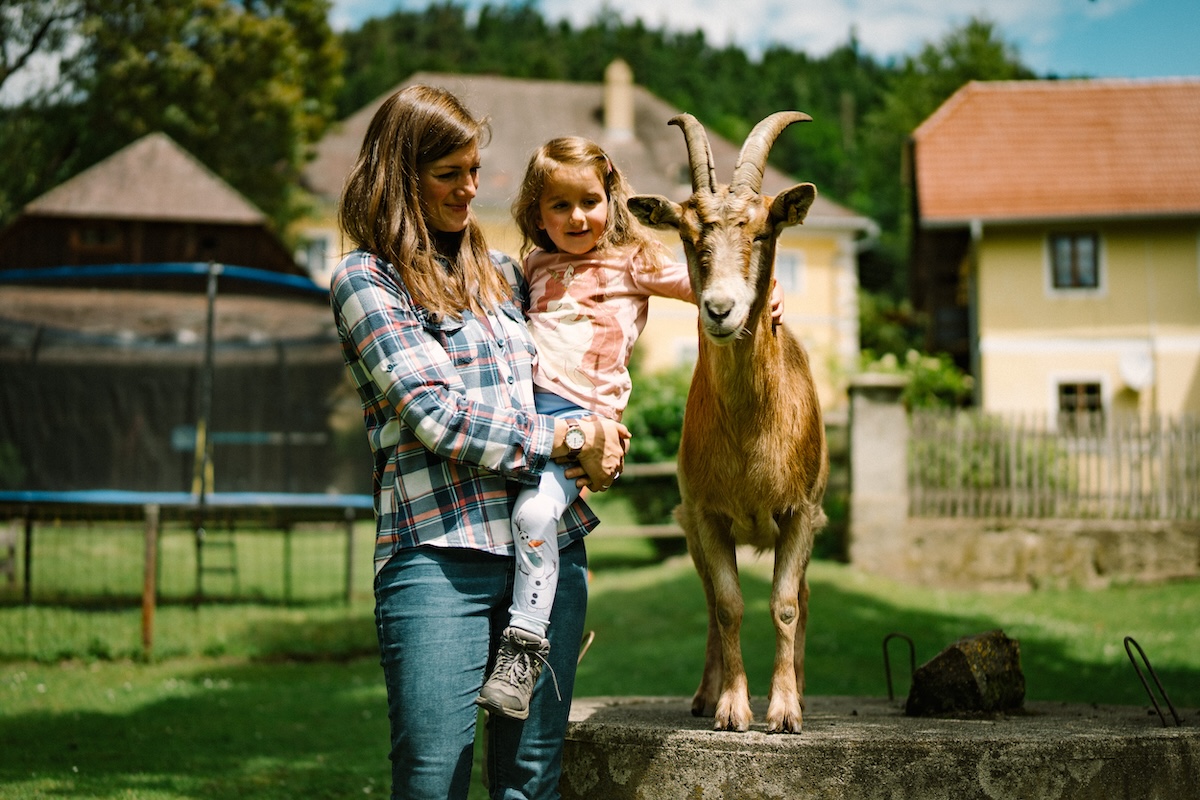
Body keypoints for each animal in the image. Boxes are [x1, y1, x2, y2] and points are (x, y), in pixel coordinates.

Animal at [628, 110, 825, 734]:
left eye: (761, 232)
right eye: (690, 237)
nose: (720, 309)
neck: (749, 437)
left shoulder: (799, 513)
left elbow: (784, 605)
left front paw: (784, 712)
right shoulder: (707, 515)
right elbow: (728, 605)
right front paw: (733, 709)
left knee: (803, 597)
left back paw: (800, 691)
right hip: (688, 525)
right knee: (712, 604)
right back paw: (704, 694)